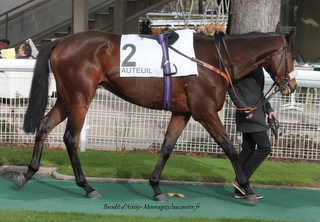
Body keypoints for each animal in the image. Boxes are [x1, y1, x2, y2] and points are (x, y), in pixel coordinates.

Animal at [19, 23, 296, 203]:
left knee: (44, 126)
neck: (214, 60)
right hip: (80, 98)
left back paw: (28, 172)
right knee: (71, 138)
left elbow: (167, 147)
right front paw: (246, 187)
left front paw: (156, 187)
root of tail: (61, 41)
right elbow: (229, 147)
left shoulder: (182, 112)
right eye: (292, 56)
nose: (291, 85)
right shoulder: (205, 112)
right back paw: (87, 186)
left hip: (67, 98)